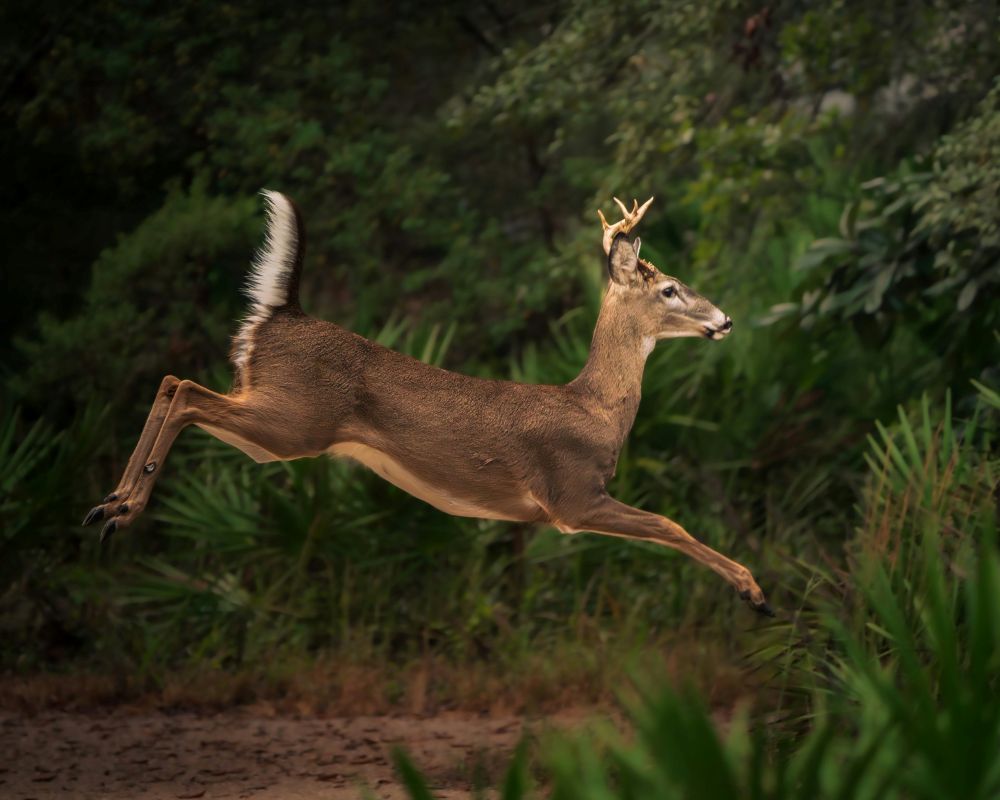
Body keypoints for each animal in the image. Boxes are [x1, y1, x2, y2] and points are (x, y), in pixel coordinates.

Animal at [82, 192, 774, 616]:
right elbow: (670, 525)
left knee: (172, 382)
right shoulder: (571, 496)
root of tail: (281, 314)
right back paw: (120, 510)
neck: (596, 408)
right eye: (671, 288)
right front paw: (754, 591)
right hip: (291, 422)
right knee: (185, 390)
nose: (726, 320)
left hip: (274, 420)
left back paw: (108, 506)